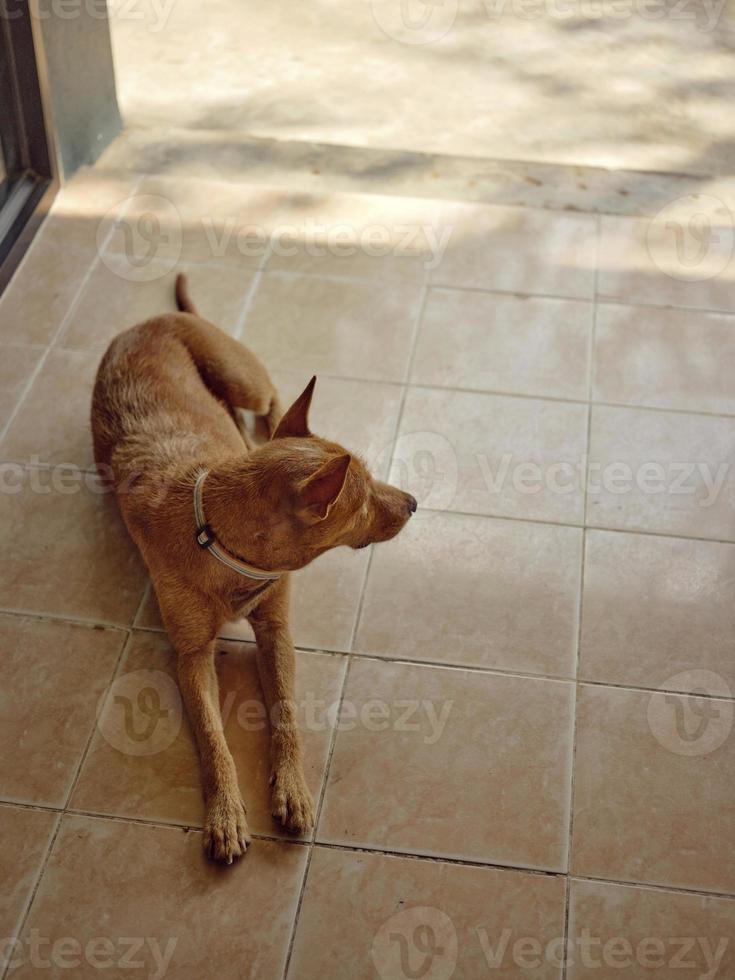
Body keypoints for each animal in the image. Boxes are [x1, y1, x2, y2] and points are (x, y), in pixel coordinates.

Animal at [89, 276, 416, 864]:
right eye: (361, 504)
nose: (414, 503)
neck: (219, 538)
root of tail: (150, 321)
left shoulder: (276, 629)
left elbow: (285, 714)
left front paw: (291, 788)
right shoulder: (191, 656)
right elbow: (212, 739)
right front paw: (224, 813)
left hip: (242, 379)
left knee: (275, 405)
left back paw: (260, 431)